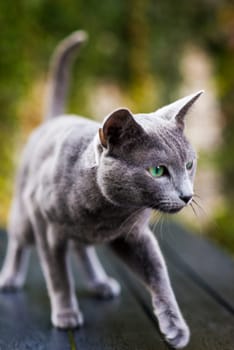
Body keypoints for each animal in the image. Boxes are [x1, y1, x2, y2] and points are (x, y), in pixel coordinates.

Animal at [0, 31, 203, 348]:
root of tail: (53, 120)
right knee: (19, 241)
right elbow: (58, 276)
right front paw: (66, 314)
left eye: (190, 164)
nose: (186, 195)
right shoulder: (46, 228)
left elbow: (159, 276)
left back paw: (100, 282)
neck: (106, 213)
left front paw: (175, 327)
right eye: (158, 171)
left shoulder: (133, 236)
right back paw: (9, 278)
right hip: (25, 217)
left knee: (81, 249)